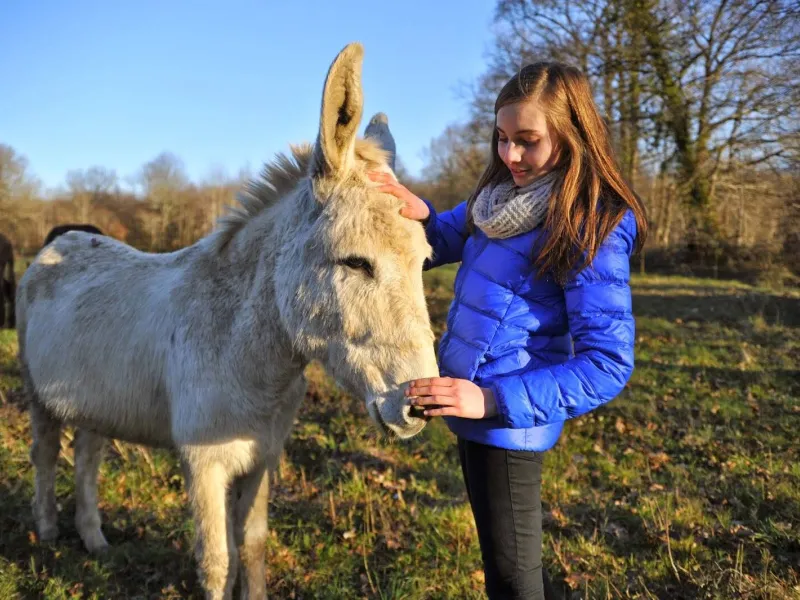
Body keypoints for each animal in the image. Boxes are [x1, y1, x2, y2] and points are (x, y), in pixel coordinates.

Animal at [15, 42, 438, 599]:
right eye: (355, 262)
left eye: (424, 261)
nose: (420, 405)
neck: (253, 356)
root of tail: (59, 240)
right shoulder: (204, 466)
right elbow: (218, 562)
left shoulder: (261, 458)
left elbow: (252, 549)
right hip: (38, 395)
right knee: (44, 456)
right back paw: (45, 534)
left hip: (95, 400)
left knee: (87, 457)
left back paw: (95, 541)